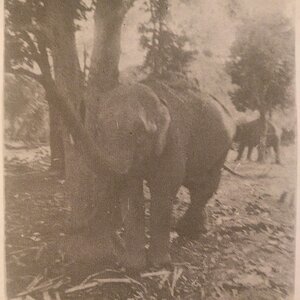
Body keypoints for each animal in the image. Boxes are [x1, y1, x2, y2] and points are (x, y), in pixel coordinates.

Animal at [76, 80, 236, 272]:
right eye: (98, 131)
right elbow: (131, 192)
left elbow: (163, 190)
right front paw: (134, 267)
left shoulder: (173, 142)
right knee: (195, 184)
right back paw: (194, 229)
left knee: (206, 185)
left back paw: (187, 230)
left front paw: (159, 265)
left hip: (222, 148)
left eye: (139, 135)